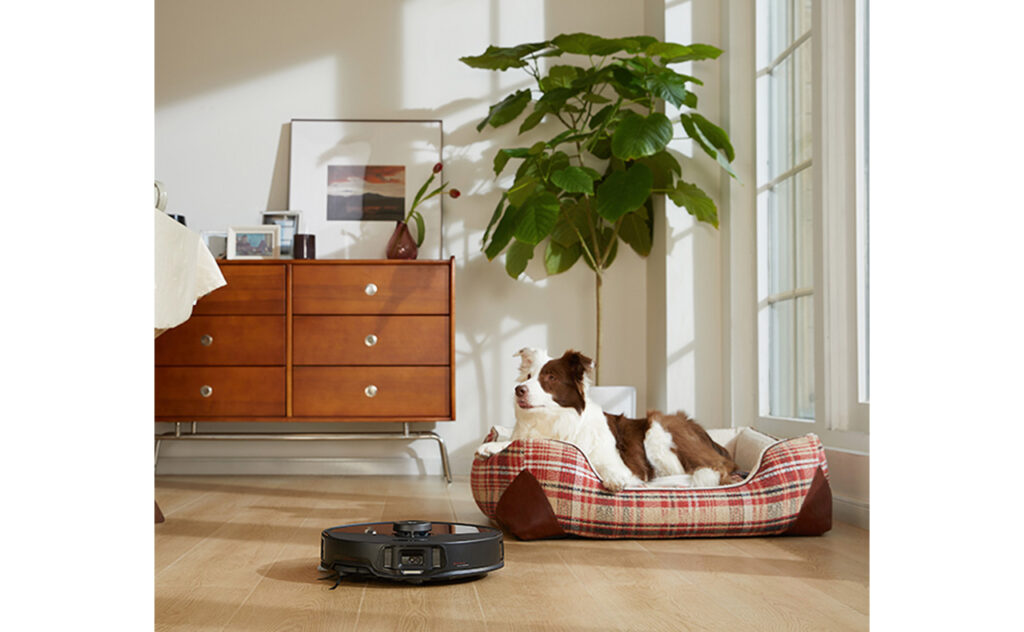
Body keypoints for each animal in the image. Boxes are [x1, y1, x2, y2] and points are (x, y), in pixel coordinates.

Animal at [475, 348, 741, 489]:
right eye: (528, 377)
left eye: (550, 377)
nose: (519, 390)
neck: (554, 420)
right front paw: (493, 445)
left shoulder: (621, 464)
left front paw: (616, 479)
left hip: (658, 430)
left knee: (712, 471)